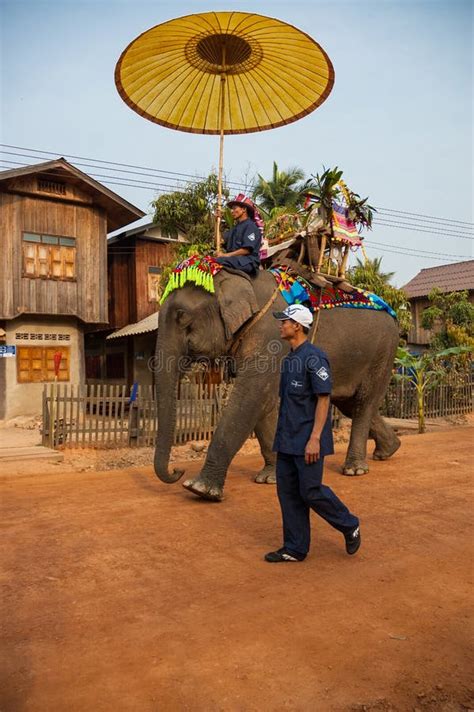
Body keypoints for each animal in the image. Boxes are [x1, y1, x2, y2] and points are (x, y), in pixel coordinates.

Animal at [152, 268, 400, 500]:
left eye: (182, 317)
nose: (178, 470)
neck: (238, 278)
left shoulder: (270, 335)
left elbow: (252, 397)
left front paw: (200, 489)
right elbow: (264, 404)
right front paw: (269, 478)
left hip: (383, 351)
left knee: (363, 403)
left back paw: (354, 469)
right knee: (349, 404)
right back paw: (388, 450)